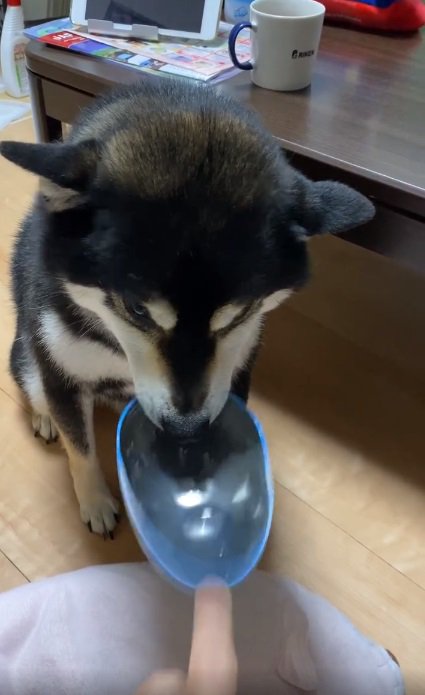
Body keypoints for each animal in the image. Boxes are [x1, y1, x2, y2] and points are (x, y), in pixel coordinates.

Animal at [0, 80, 372, 540]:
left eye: (240, 314)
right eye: (137, 310)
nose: (186, 430)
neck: (116, 346)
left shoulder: (236, 365)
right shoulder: (60, 374)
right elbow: (80, 449)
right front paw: (96, 502)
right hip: (28, 358)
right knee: (35, 391)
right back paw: (45, 419)